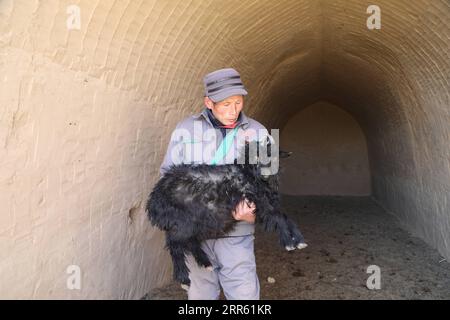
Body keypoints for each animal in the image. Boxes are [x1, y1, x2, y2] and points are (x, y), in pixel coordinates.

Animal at [146, 138, 308, 284]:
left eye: (273, 157)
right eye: (255, 156)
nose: (266, 172)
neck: (249, 174)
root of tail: (153, 199)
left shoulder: (266, 203)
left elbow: (285, 217)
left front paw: (299, 241)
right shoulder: (258, 200)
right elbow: (279, 217)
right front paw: (289, 242)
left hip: (195, 223)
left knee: (190, 242)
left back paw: (206, 263)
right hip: (183, 221)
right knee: (174, 243)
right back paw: (183, 277)